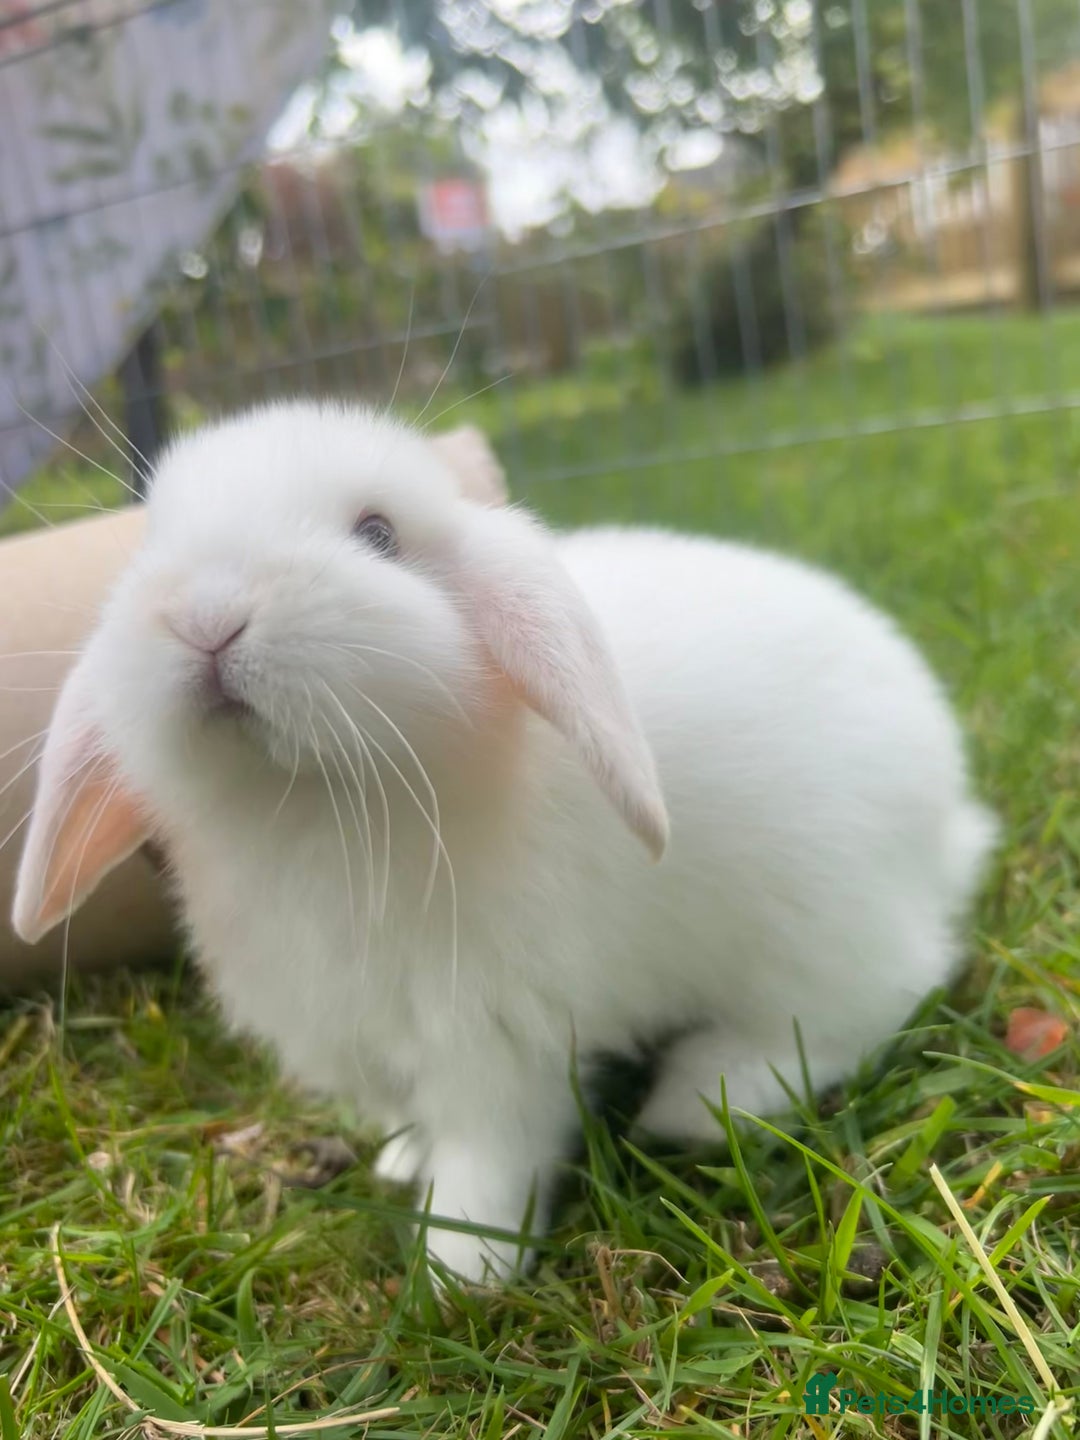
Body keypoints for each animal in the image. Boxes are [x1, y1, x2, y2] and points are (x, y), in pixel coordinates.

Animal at [12, 400, 997, 1284]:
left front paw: (458, 1271)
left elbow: (491, 1154)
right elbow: (421, 1123)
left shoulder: (498, 1041)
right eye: (150, 546)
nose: (206, 615)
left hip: (818, 926)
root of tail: (953, 817)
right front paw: (405, 1163)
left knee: (873, 1000)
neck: (309, 810)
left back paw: (699, 1099)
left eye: (378, 534)